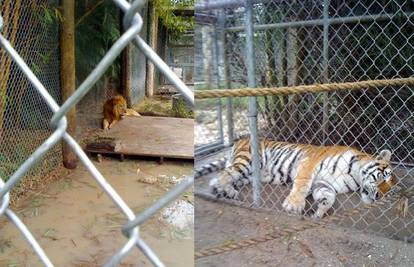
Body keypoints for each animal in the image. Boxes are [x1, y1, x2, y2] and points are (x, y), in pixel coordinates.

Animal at [209, 139, 396, 219]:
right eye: (383, 176)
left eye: (390, 191)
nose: (380, 196)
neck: (354, 176)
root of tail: (240, 139)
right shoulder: (309, 163)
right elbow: (302, 184)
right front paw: (294, 205)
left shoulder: (324, 183)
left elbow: (329, 197)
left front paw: (319, 211)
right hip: (248, 161)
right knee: (225, 173)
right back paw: (223, 189)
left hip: (247, 175)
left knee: (227, 175)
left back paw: (225, 191)